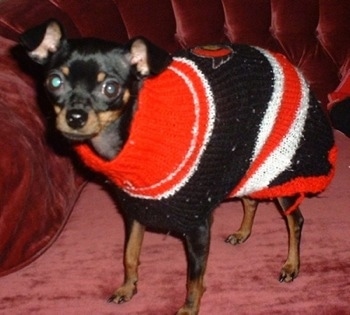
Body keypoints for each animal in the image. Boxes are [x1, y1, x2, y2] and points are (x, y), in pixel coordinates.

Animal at [19, 19, 336, 315]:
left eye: (111, 88)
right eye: (54, 82)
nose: (75, 117)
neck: (132, 134)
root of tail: (288, 63)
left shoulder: (198, 225)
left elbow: (193, 279)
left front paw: (189, 308)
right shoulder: (135, 212)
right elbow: (129, 255)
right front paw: (127, 288)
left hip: (281, 169)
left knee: (295, 222)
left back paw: (291, 265)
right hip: (247, 160)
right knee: (250, 200)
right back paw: (243, 232)